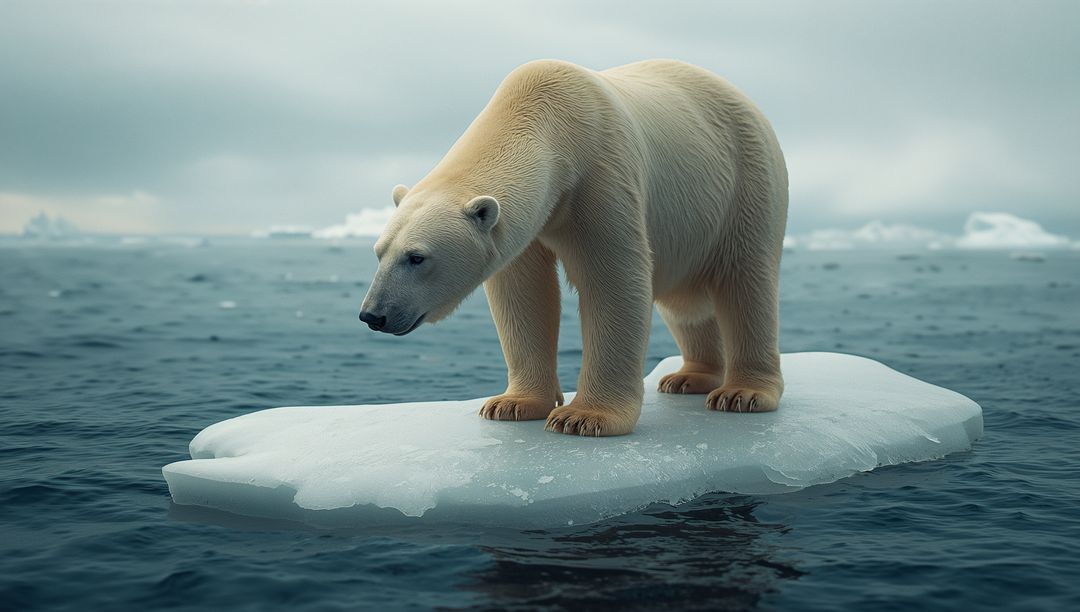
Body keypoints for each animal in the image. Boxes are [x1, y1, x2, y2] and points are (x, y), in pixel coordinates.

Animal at [359, 59, 788, 436]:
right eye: (379, 252)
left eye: (417, 258)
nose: (373, 315)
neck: (548, 117)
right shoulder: (532, 222)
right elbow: (524, 294)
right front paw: (512, 404)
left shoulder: (602, 175)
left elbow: (615, 281)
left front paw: (583, 417)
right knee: (685, 305)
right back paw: (688, 377)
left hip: (746, 181)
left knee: (745, 280)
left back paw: (742, 393)